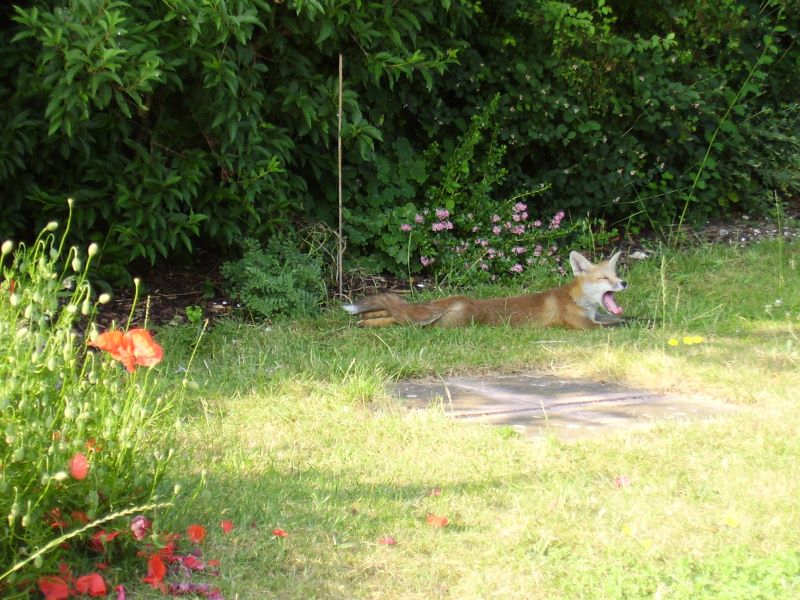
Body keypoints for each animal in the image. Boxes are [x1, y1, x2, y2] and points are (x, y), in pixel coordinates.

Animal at [340, 251, 628, 330]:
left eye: (616, 275)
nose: (624, 283)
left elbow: (623, 319)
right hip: (446, 325)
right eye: (605, 278)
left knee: (394, 315)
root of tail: (463, 300)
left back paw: (365, 320)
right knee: (403, 321)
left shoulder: (597, 316)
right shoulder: (584, 326)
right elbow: (613, 327)